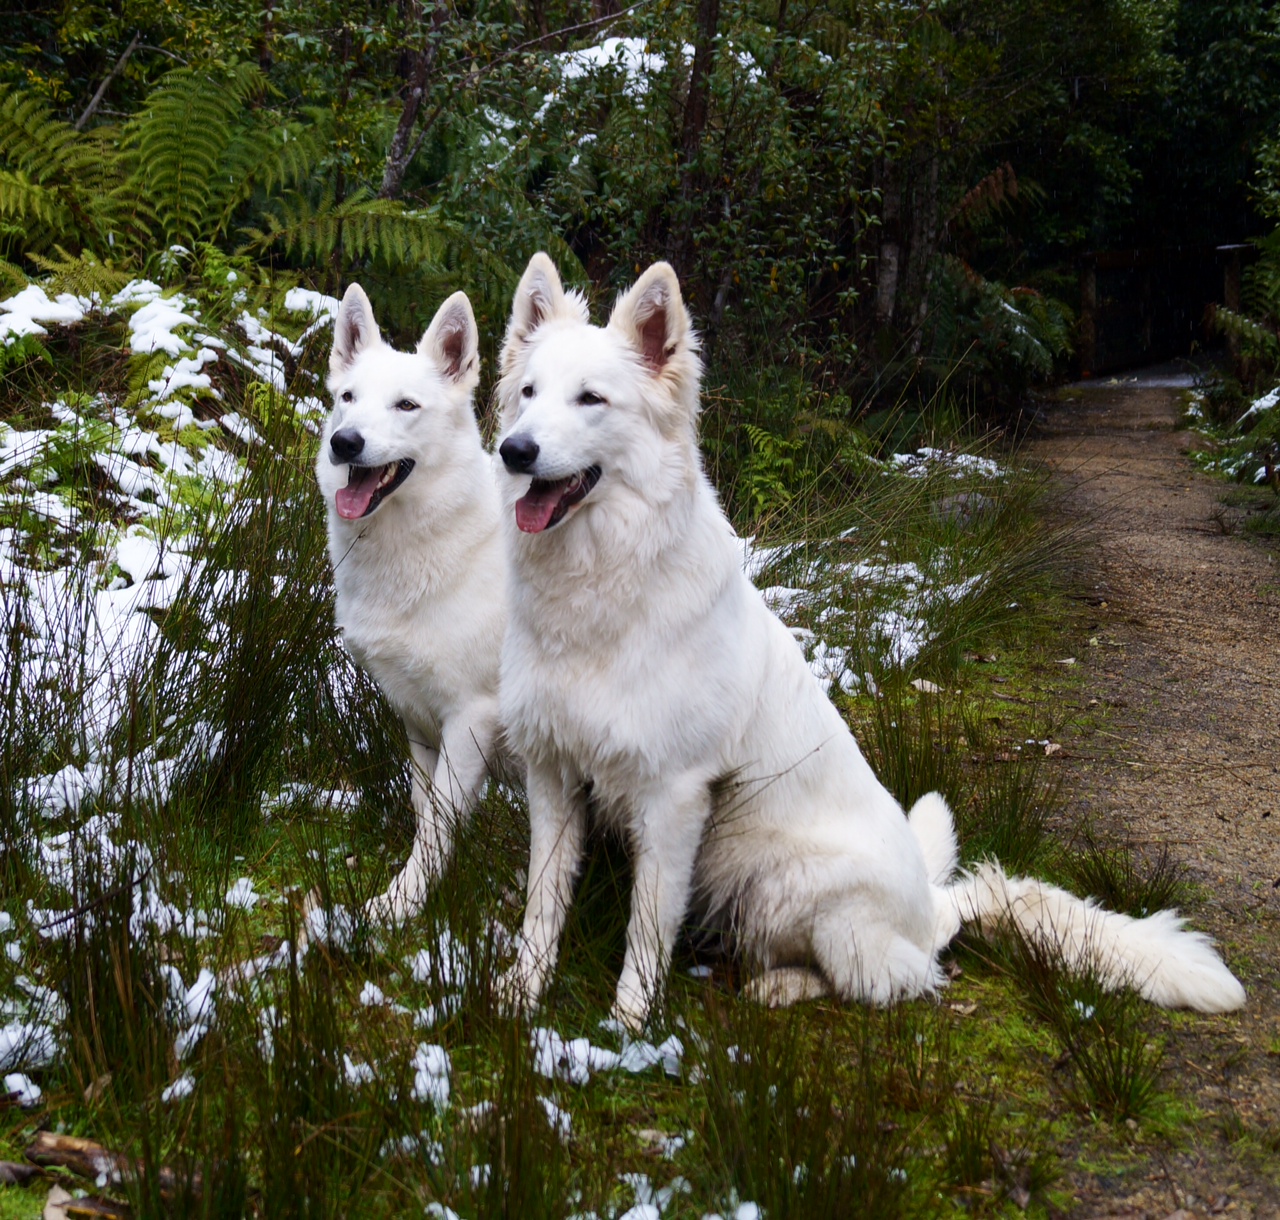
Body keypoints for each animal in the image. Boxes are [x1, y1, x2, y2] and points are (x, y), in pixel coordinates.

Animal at [320, 282, 509, 911]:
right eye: (348, 398)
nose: (344, 442)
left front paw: (399, 907)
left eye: (406, 406)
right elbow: (425, 810)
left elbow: (437, 828)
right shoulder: (418, 722)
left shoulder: (471, 721)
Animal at [488, 254, 1239, 1029]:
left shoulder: (672, 799)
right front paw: (521, 993)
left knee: (895, 976)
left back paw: (784, 987)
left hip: (784, 881)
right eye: (528, 393)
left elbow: (645, 927)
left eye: (591, 400)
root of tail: (935, 905)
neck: (602, 583)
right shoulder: (552, 774)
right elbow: (544, 900)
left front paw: (629, 1025)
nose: (515, 451)